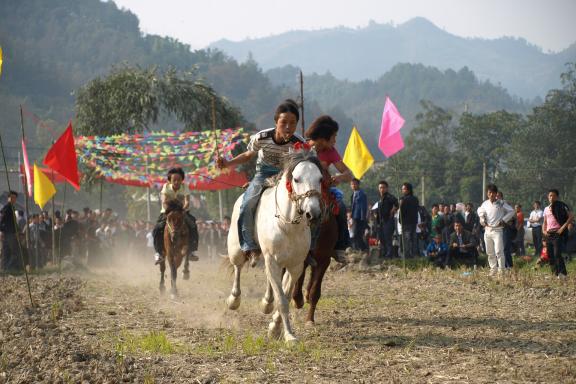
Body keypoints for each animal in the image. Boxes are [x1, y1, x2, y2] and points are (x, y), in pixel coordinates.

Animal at [225, 152, 324, 344]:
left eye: (320, 178)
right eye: (296, 179)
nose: (313, 213)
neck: (288, 226)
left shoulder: (295, 266)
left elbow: (285, 295)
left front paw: (276, 329)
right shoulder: (272, 261)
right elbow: (282, 300)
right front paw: (289, 336)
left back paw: (266, 302)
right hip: (236, 249)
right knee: (238, 267)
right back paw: (234, 299)